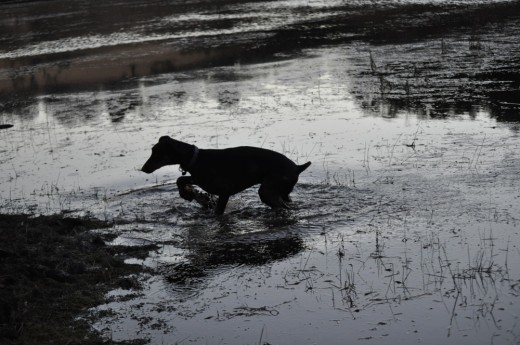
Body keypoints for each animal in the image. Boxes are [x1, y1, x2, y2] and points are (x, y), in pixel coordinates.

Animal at [141, 136, 312, 214]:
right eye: (152, 151)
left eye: (156, 153)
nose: (143, 168)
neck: (196, 159)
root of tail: (298, 167)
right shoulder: (199, 179)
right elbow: (180, 179)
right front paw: (187, 194)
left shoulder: (225, 191)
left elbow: (218, 212)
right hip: (281, 191)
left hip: (266, 191)